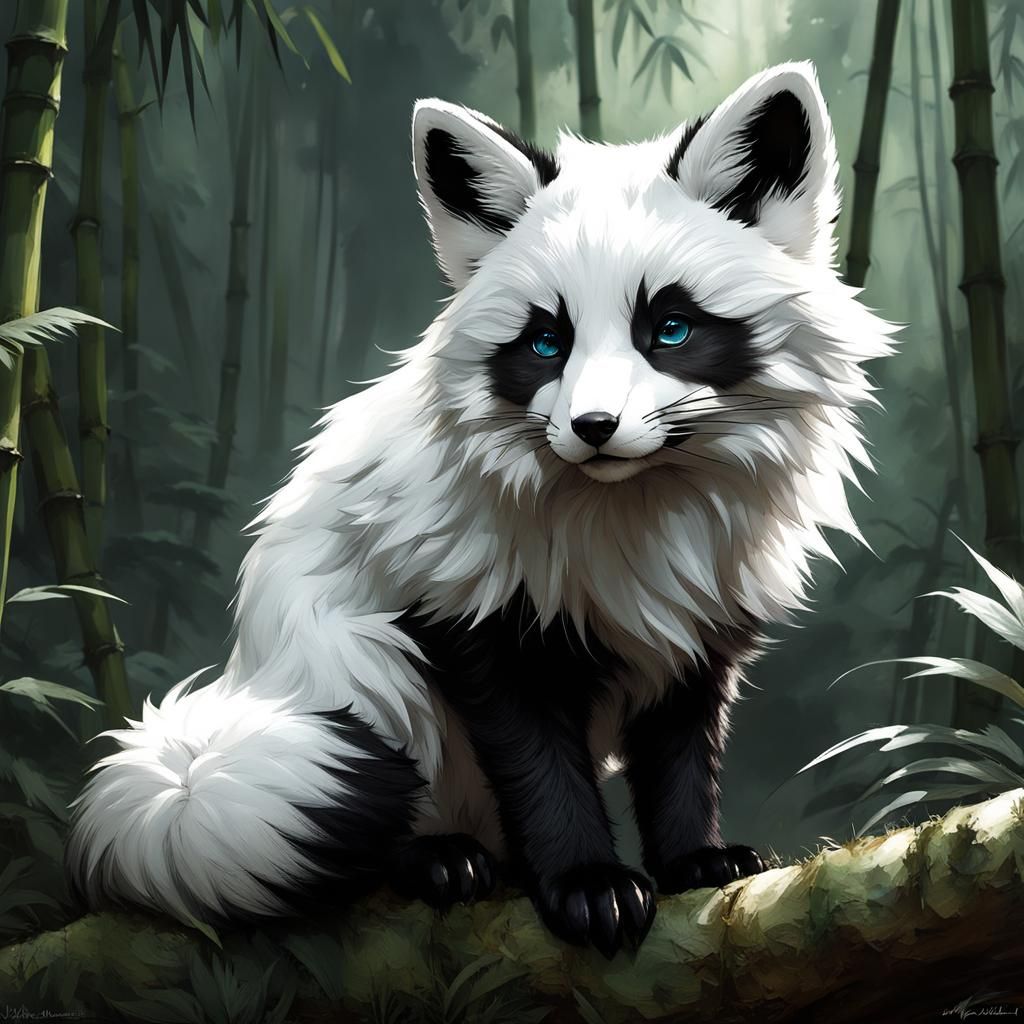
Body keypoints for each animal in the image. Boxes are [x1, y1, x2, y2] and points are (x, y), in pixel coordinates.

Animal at [65, 61, 894, 959]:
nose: (593, 428)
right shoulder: (469, 614)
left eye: (670, 328)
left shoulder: (699, 627)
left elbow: (680, 762)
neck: (632, 529)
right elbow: (539, 768)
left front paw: (692, 865)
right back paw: (440, 859)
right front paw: (587, 885)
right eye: (546, 343)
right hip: (362, 678)